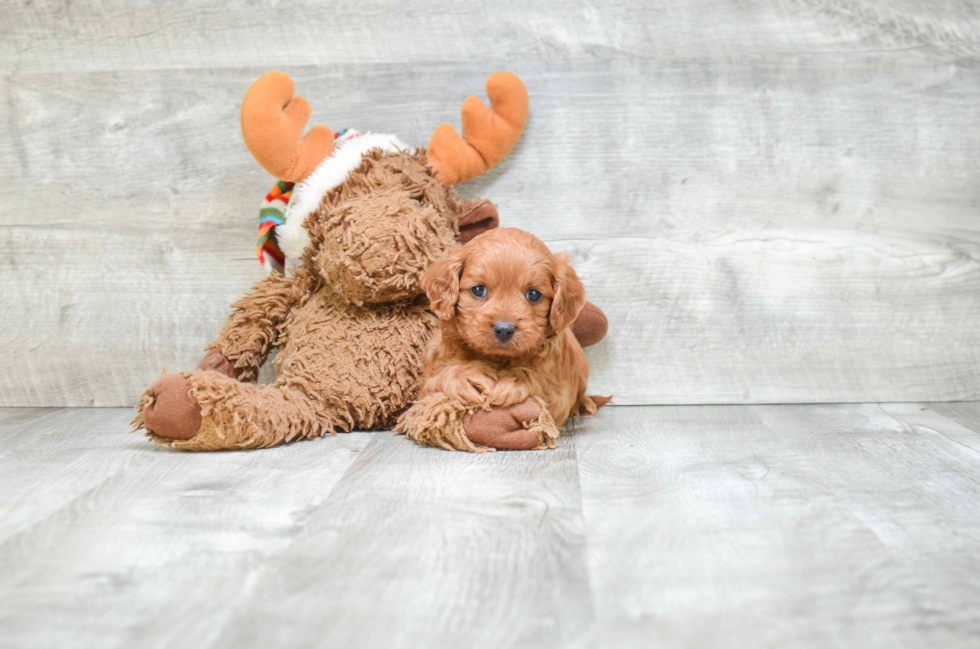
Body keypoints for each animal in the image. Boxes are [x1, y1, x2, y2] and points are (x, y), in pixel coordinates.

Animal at [394, 228, 608, 450]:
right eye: (478, 290)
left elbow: (540, 383)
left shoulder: (559, 393)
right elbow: (439, 379)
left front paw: (512, 381)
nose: (504, 329)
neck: (497, 358)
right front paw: (468, 377)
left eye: (533, 294)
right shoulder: (426, 383)